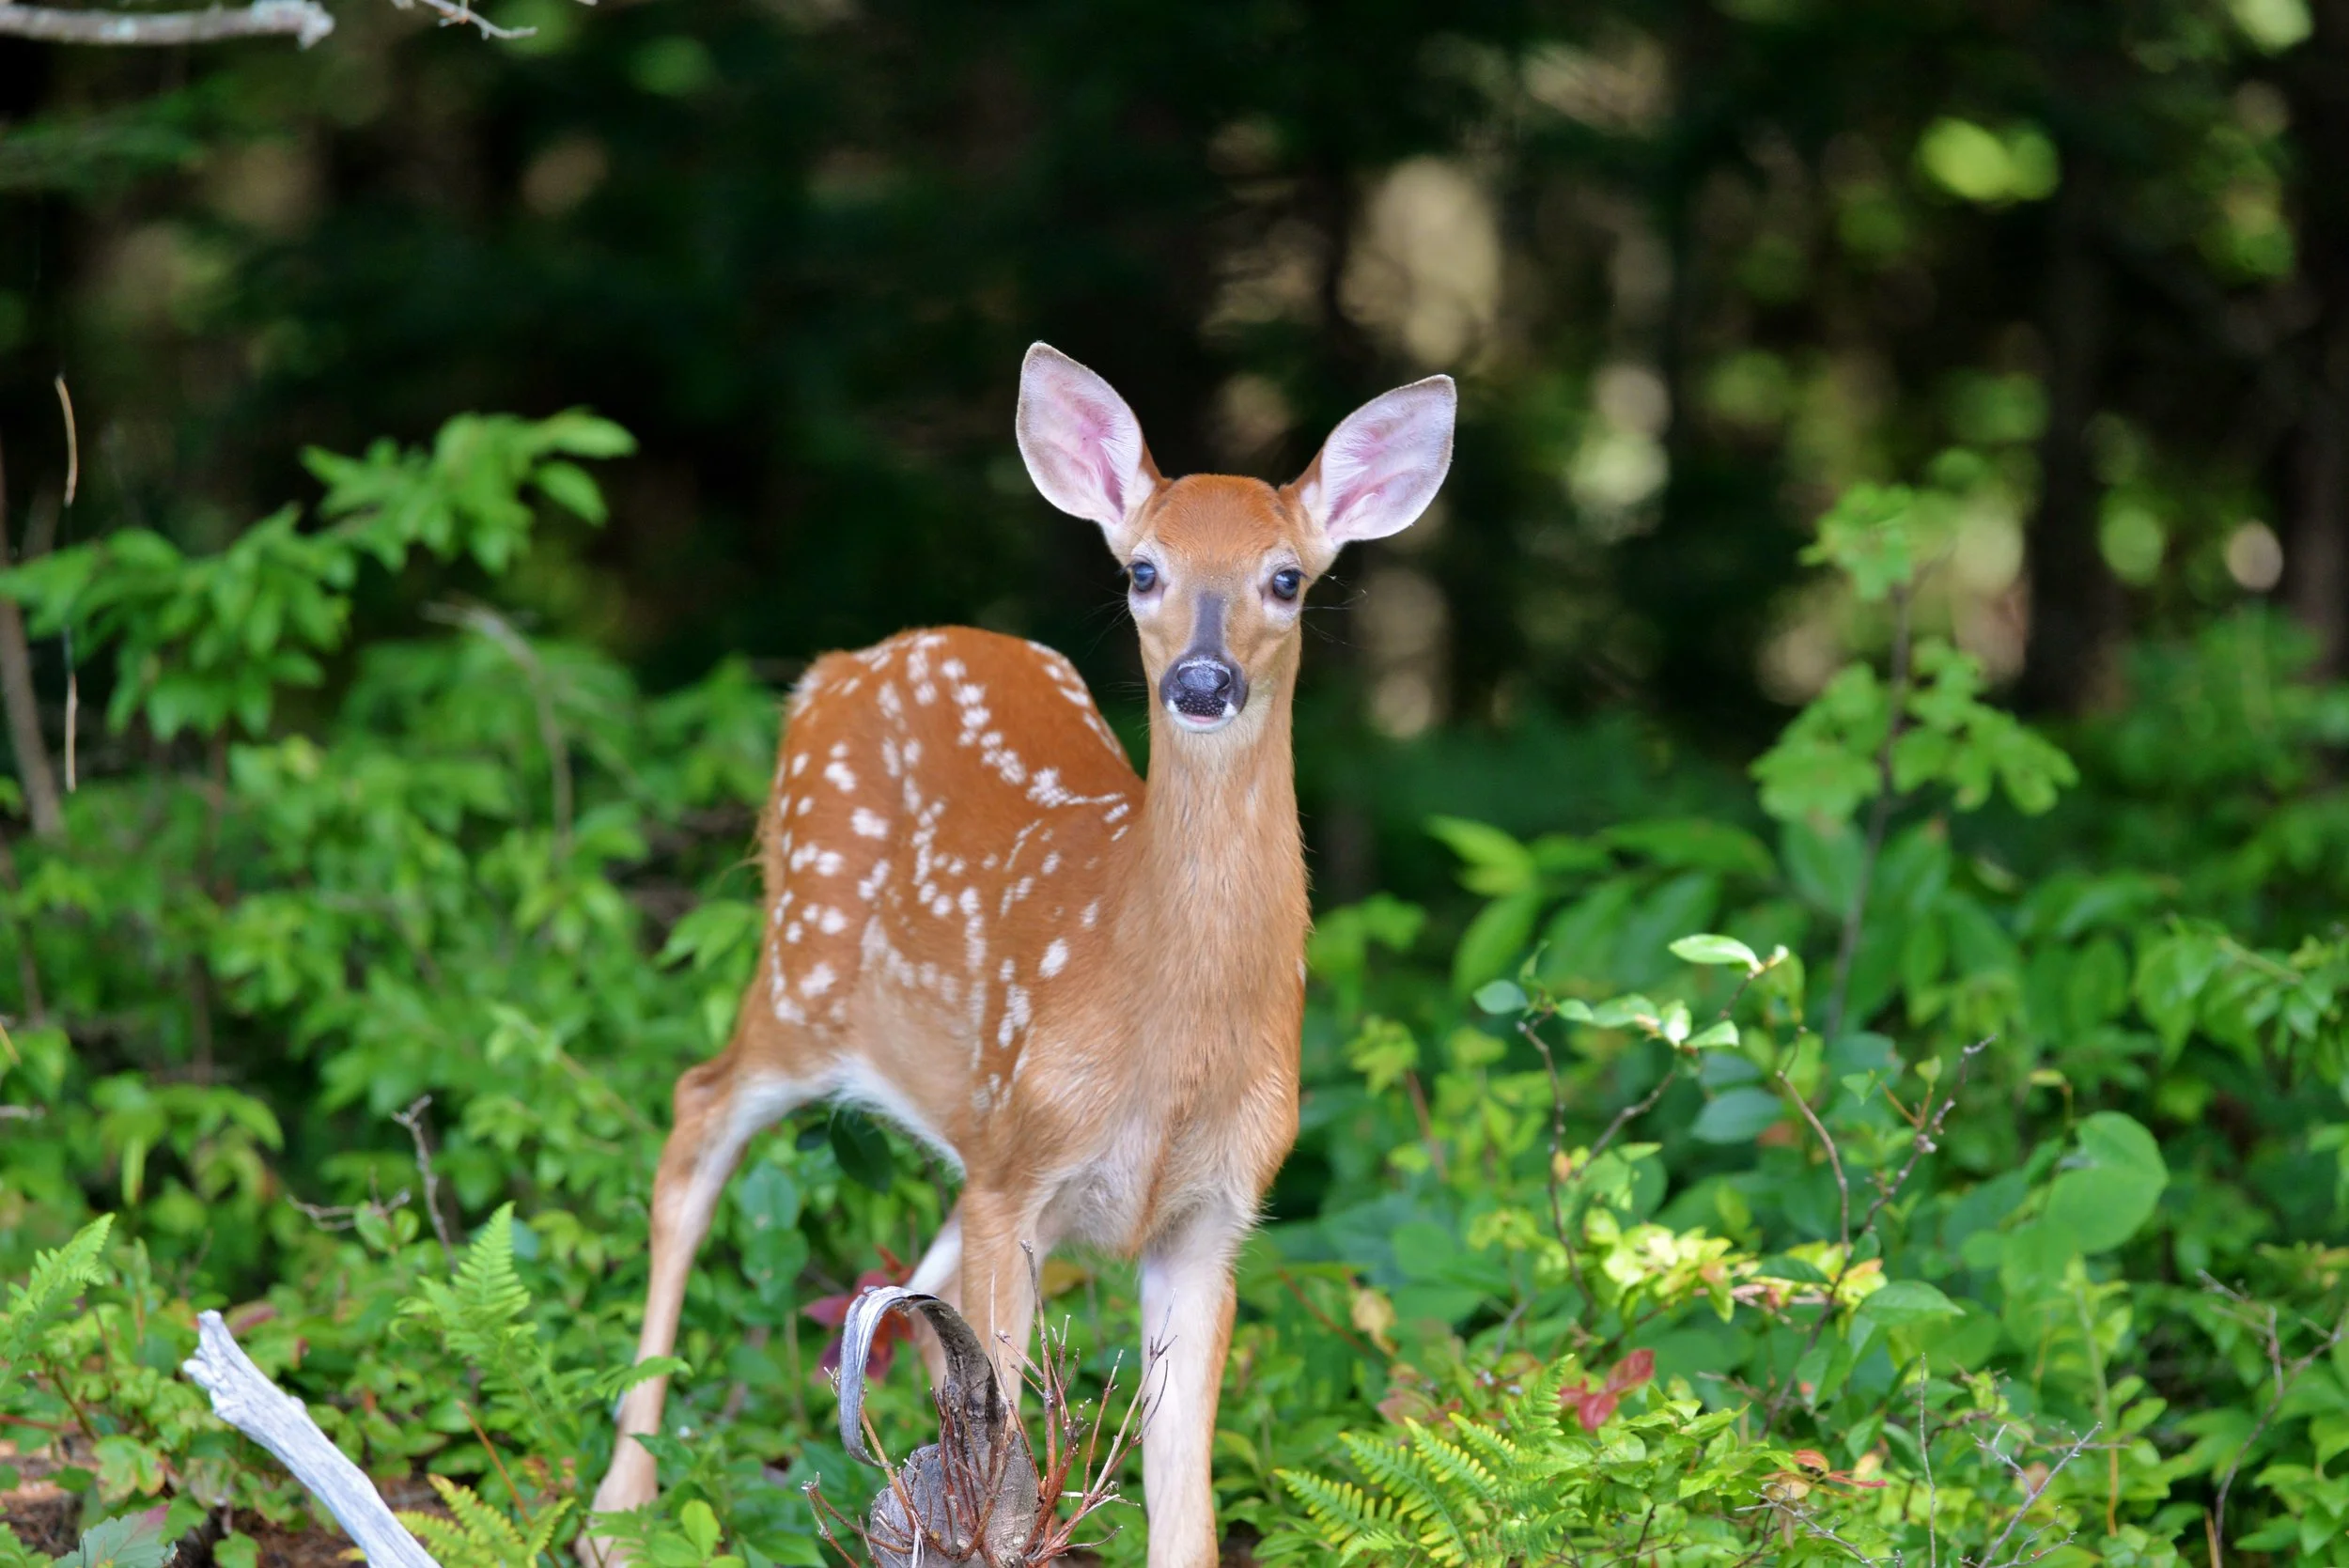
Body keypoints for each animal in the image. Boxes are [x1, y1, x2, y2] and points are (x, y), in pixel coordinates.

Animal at [582, 344, 1456, 1568]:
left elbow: (1183, 1507)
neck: (1163, 1034)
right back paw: (619, 1506)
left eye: (1286, 578)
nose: (1200, 682)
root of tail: (835, 667)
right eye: (1143, 571)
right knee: (696, 1110)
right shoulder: (1024, 1174)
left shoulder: (1211, 1212)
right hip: (805, 973)